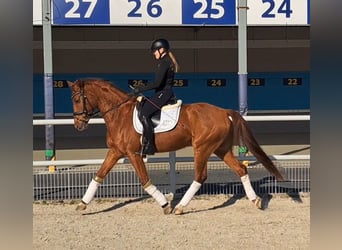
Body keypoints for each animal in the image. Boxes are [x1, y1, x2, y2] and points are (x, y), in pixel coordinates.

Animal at [67, 78, 284, 215]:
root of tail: (224, 111)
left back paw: (180, 207)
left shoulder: (133, 153)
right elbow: (98, 176)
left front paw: (165, 205)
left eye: (77, 99)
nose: (78, 125)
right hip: (220, 149)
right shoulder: (116, 151)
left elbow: (145, 181)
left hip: (202, 148)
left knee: (200, 177)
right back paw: (255, 200)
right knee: (241, 169)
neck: (120, 114)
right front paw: (82, 204)